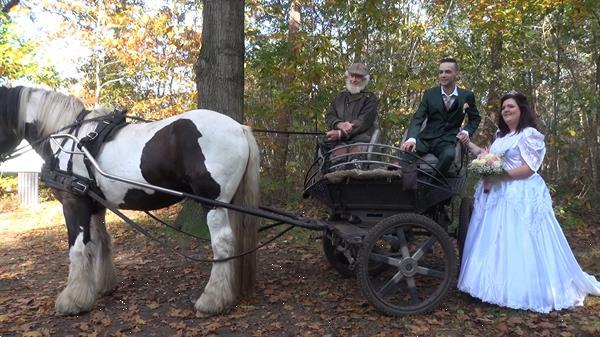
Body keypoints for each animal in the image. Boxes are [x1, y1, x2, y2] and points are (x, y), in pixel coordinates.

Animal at [1, 86, 262, 316]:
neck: (69, 140)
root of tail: (239, 127)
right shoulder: (95, 205)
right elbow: (100, 243)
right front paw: (101, 285)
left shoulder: (73, 202)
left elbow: (77, 248)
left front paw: (73, 300)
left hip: (214, 202)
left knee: (223, 243)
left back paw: (212, 300)